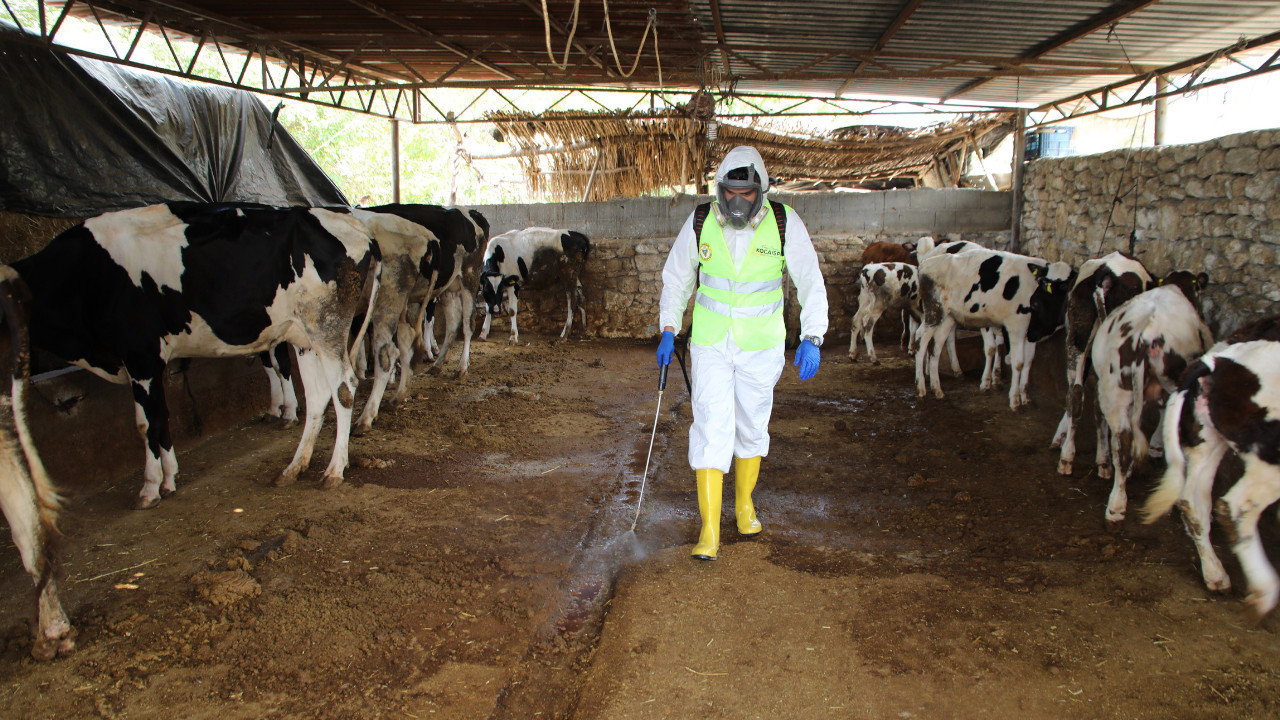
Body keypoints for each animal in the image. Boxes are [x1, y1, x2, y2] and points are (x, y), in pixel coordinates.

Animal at [11, 198, 378, 507]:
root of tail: (356, 226)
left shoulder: (141, 356)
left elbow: (147, 423)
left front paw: (151, 487)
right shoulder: (147, 363)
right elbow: (161, 417)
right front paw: (169, 478)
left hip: (326, 325)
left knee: (344, 388)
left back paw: (334, 469)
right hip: (303, 334)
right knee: (317, 395)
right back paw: (294, 466)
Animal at [916, 245, 1075, 407]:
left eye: (1065, 284)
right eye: (1044, 282)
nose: (1035, 300)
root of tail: (926, 263)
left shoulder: (1030, 332)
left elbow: (1028, 361)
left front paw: (1025, 396)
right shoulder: (1016, 325)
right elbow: (1017, 362)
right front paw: (1014, 399)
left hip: (948, 316)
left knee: (936, 347)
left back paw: (937, 389)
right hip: (934, 311)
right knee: (920, 342)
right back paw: (921, 388)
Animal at [1141, 338, 1280, 614]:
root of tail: (1217, 362)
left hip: (1207, 439)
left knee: (1193, 501)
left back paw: (1216, 574)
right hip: (1271, 454)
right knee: (1234, 506)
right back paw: (1264, 591)